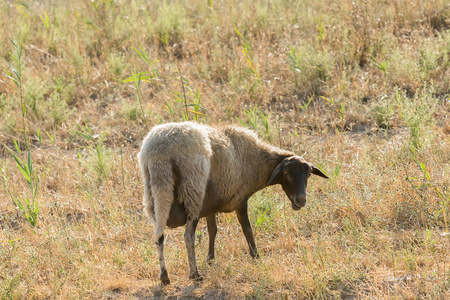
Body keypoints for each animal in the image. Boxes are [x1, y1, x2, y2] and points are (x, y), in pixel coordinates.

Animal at [137, 121, 326, 284]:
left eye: (309, 174)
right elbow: (247, 229)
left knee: (159, 237)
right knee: (188, 236)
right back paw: (195, 275)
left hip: (154, 194)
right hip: (193, 193)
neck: (257, 160)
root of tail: (160, 152)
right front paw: (256, 256)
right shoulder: (240, 201)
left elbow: (213, 231)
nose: (301, 200)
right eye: (286, 173)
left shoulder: (210, 205)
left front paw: (211, 259)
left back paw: (164, 277)